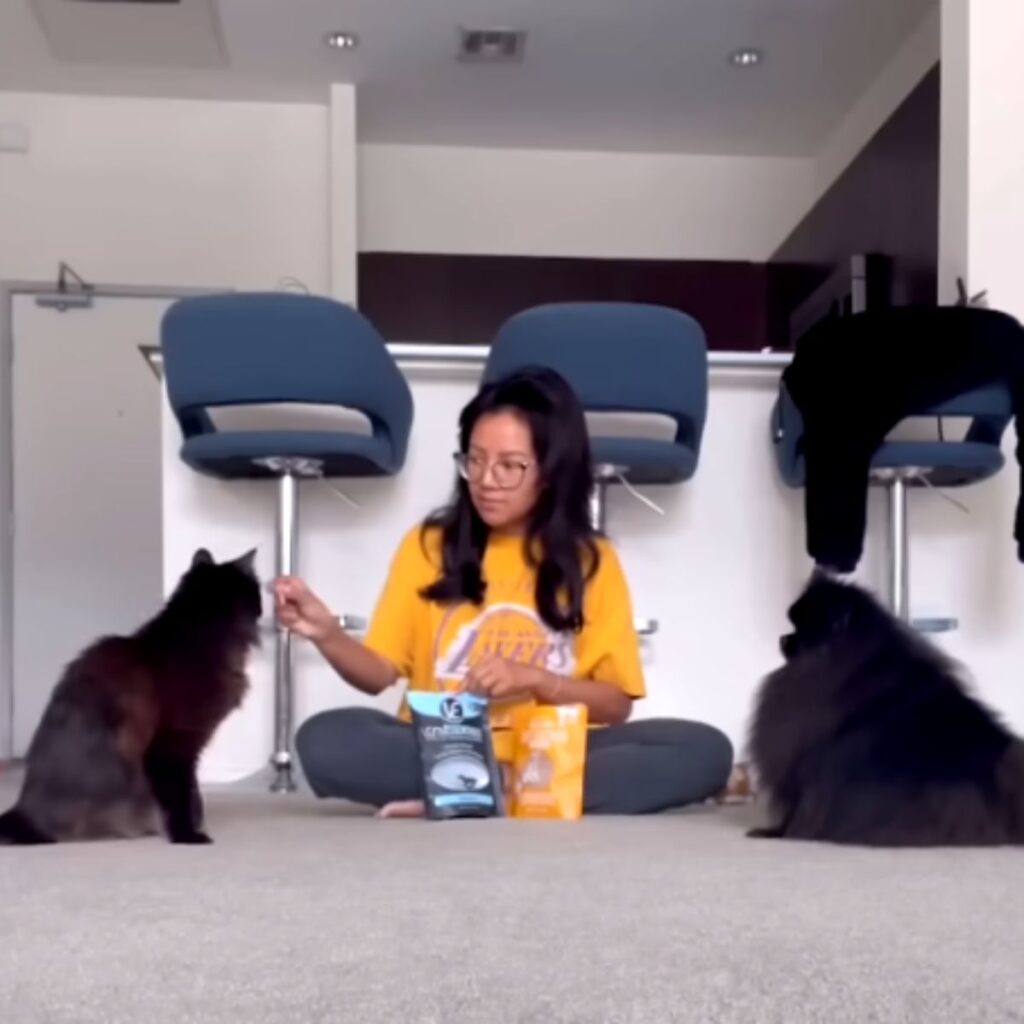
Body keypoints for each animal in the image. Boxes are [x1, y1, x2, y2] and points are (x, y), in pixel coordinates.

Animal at [0, 548, 262, 843]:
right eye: (257, 591)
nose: (264, 608)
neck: (197, 641)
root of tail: (24, 812)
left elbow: (193, 793)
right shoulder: (175, 744)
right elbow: (184, 795)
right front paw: (188, 835)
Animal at [745, 573, 1024, 843]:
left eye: (805, 630)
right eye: (793, 626)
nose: (784, 638)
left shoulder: (815, 770)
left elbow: (803, 810)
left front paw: (780, 835)